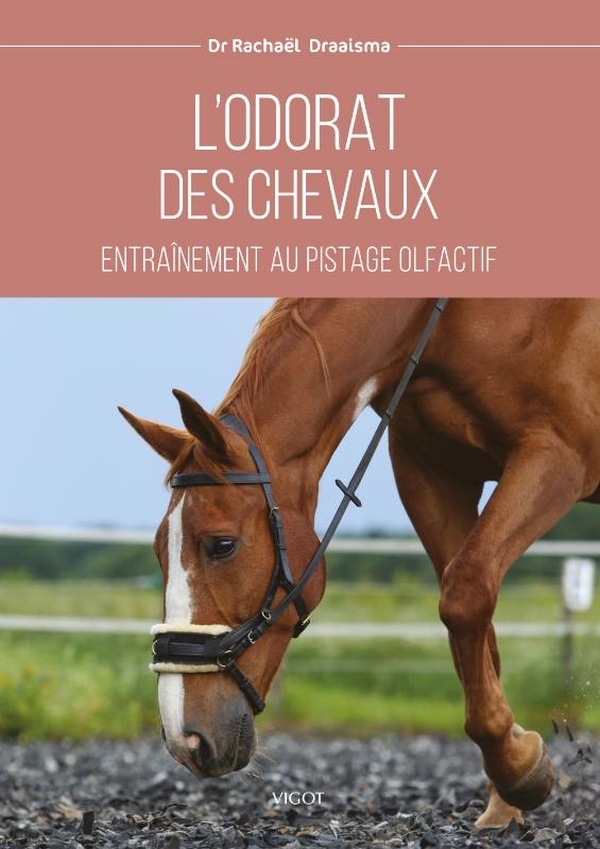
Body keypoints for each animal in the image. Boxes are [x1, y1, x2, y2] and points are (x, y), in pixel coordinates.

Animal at [119, 298, 600, 828]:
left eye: (221, 545)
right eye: (158, 550)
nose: (186, 740)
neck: (450, 320)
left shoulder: (557, 456)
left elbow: (466, 592)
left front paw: (520, 772)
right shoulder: (431, 474)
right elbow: (477, 629)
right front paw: (505, 796)